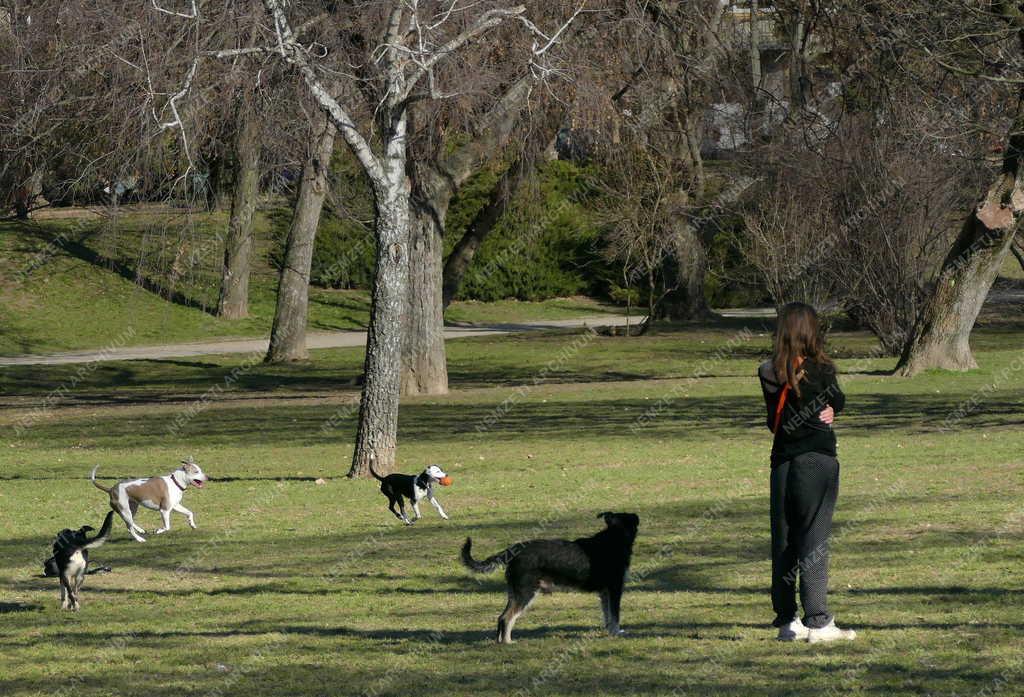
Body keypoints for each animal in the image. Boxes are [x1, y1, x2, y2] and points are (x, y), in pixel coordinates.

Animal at [464, 507, 638, 642]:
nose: (637, 516)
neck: (614, 538)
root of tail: (514, 550)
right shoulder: (615, 589)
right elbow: (615, 615)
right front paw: (616, 633)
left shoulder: (605, 593)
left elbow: (607, 615)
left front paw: (609, 632)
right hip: (526, 593)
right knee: (507, 618)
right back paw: (508, 642)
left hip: (515, 593)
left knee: (501, 618)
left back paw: (501, 642)